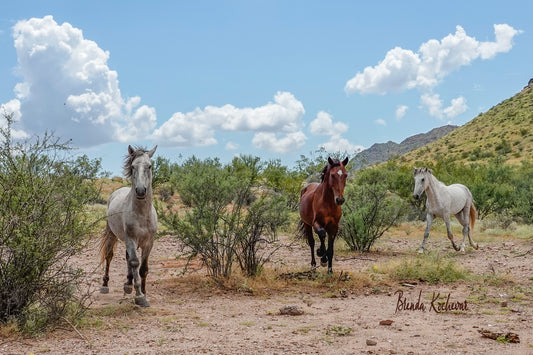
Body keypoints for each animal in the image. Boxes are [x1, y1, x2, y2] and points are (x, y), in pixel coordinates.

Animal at [100, 146, 157, 308]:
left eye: (149, 166)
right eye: (132, 167)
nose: (140, 190)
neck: (142, 215)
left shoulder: (148, 243)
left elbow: (143, 268)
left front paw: (144, 292)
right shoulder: (131, 239)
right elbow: (135, 262)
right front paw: (139, 296)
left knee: (127, 259)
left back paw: (128, 283)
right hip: (112, 234)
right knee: (109, 256)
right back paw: (105, 285)